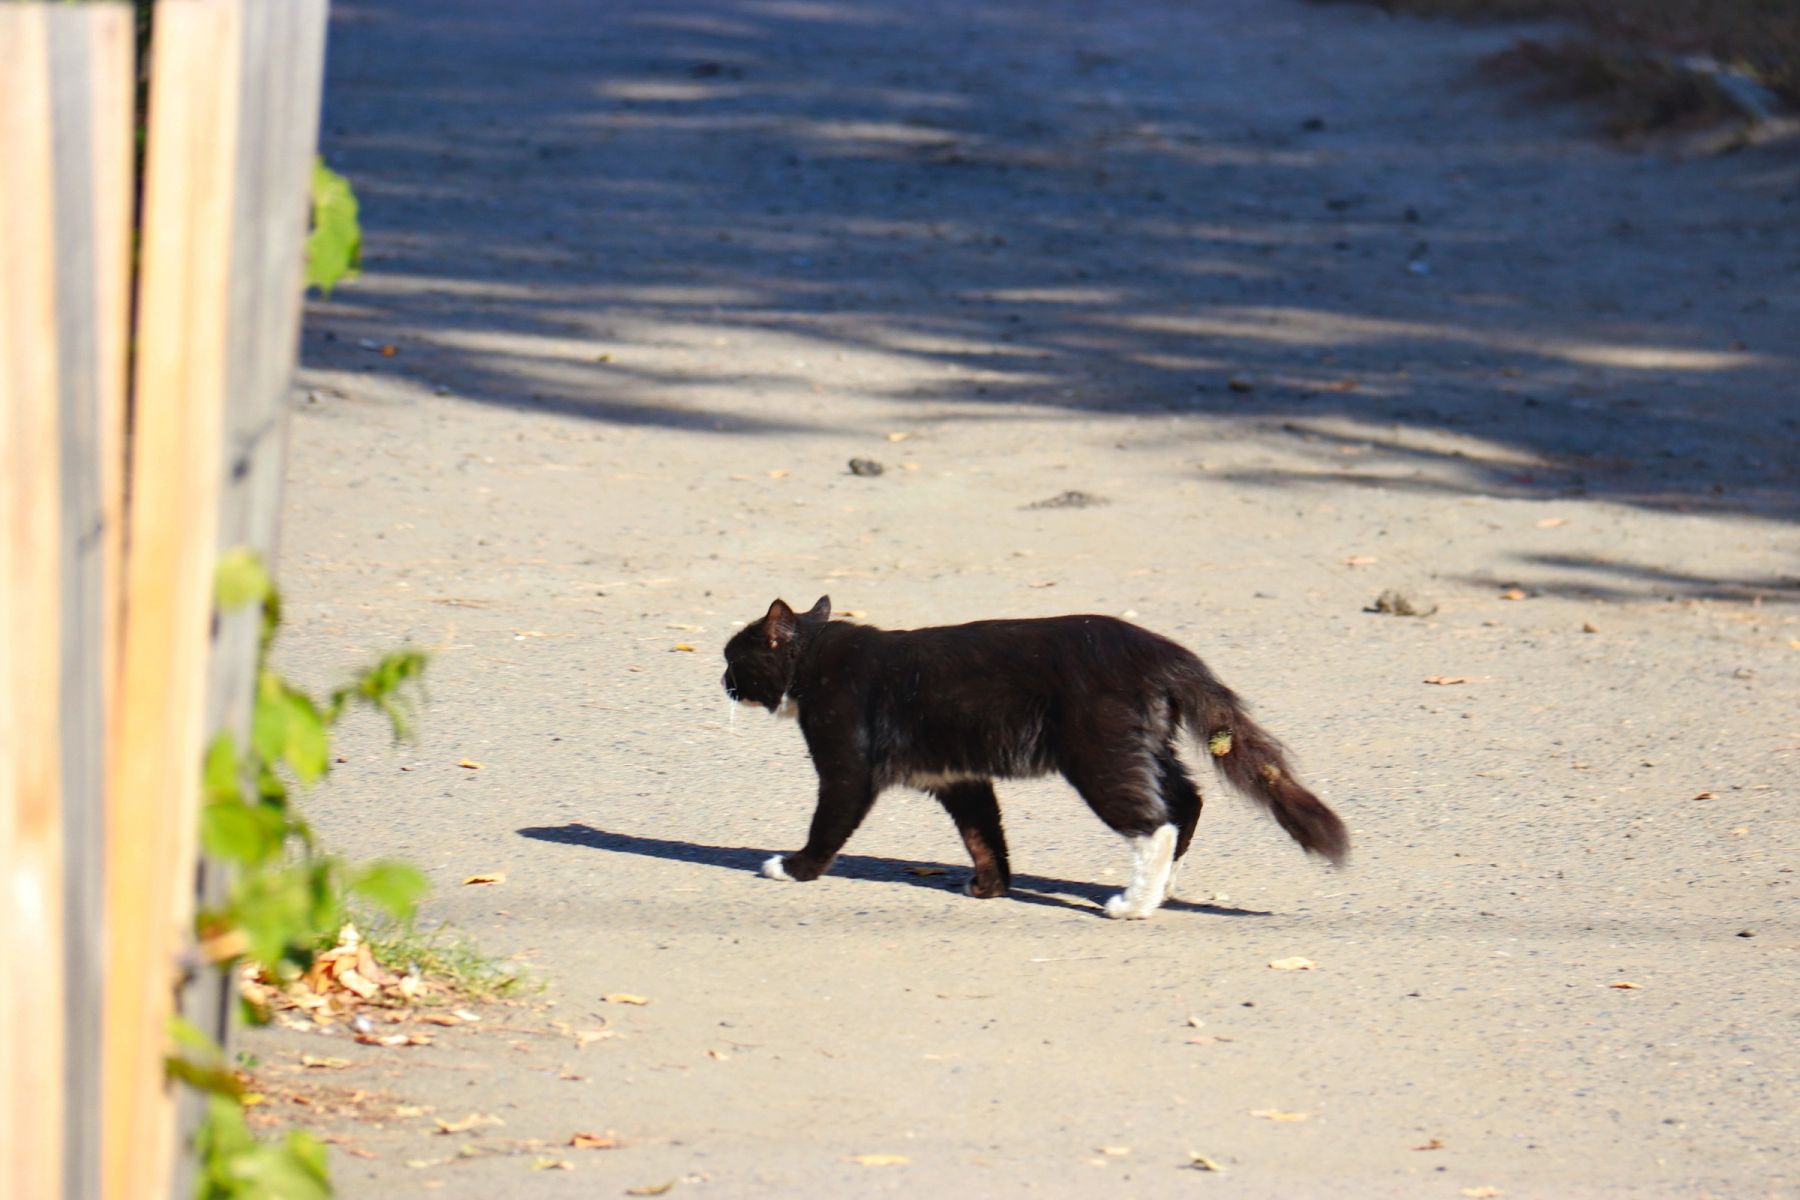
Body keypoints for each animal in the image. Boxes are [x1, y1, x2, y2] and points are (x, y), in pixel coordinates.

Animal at [723, 597, 1346, 921]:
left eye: (734, 656)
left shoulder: (847, 768)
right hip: (1146, 746)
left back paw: (1133, 904)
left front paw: (794, 868)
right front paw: (990, 887)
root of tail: (1160, 650)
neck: (817, 658)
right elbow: (983, 834)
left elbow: (828, 824)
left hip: (1100, 755)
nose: (721, 679)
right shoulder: (961, 778)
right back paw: (1163, 888)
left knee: (1155, 823)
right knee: (1186, 802)